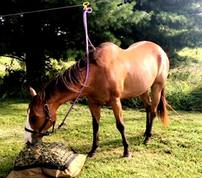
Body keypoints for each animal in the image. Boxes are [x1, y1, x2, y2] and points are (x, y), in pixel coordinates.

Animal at [24, 40, 170, 157]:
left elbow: (120, 125)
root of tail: (160, 50)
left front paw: (126, 151)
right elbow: (95, 126)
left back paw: (147, 138)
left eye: (34, 118)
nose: (28, 141)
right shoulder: (92, 103)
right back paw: (145, 133)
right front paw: (93, 150)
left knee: (153, 111)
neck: (96, 72)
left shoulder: (115, 101)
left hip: (156, 87)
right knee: (148, 108)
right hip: (142, 89)